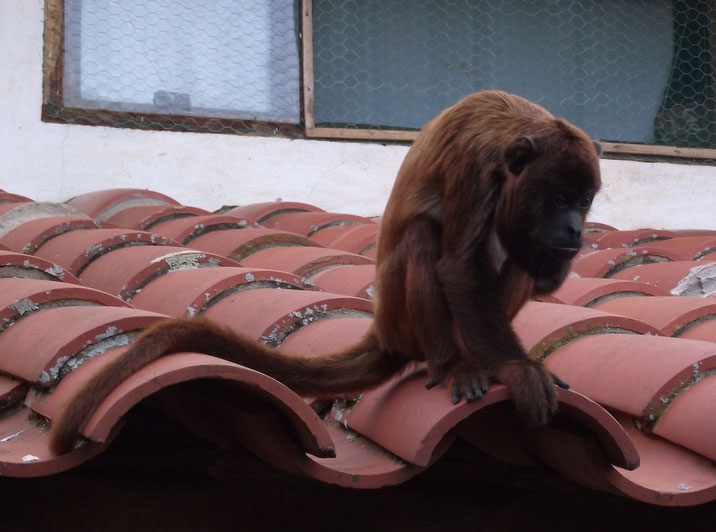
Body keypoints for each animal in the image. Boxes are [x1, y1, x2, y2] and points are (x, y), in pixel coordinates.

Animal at [47, 91, 600, 454]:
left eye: (584, 201)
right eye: (559, 198)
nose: (575, 229)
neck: (511, 137)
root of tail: (386, 331)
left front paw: (548, 271)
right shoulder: (474, 165)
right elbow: (459, 267)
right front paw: (518, 368)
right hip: (407, 320)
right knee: (425, 238)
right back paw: (452, 365)